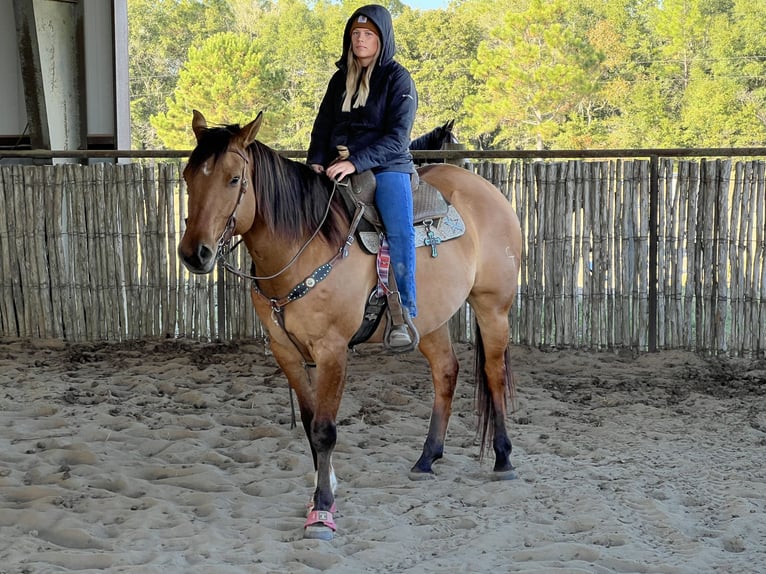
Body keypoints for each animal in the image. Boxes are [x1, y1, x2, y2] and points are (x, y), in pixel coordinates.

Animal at [178, 110, 522, 541]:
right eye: (189, 175)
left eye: (234, 179)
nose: (195, 253)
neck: (303, 243)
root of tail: (489, 193)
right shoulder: (285, 352)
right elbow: (310, 425)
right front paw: (320, 491)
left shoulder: (332, 351)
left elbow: (325, 430)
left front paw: (322, 512)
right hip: (430, 319)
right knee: (446, 371)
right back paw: (427, 458)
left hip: (493, 306)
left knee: (494, 373)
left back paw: (503, 459)